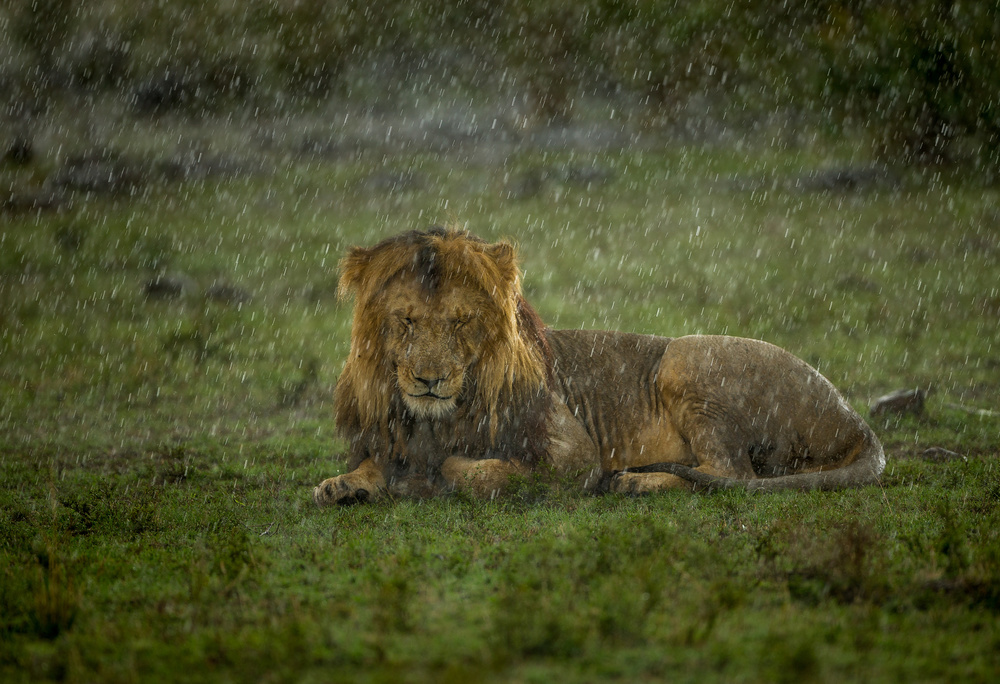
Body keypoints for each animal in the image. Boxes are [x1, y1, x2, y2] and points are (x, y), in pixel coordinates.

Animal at [312, 227, 884, 504]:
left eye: (460, 322)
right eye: (407, 320)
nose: (429, 380)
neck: (435, 419)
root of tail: (856, 421)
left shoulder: (577, 452)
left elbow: (478, 471)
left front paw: (433, 476)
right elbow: (373, 465)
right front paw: (343, 485)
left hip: (684, 356)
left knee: (731, 472)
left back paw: (634, 483)